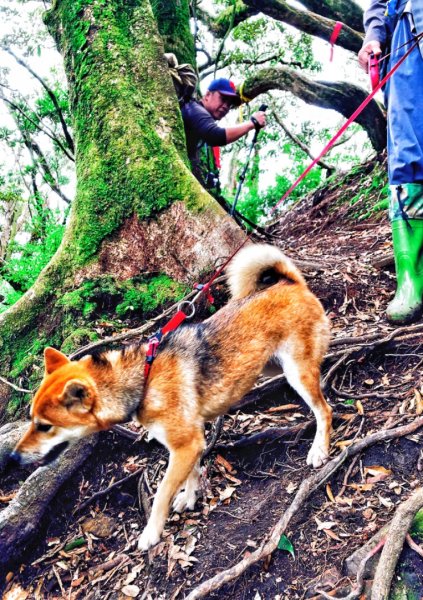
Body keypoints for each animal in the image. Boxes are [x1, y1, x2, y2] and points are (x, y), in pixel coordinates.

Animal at [11, 243, 332, 548]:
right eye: (31, 420)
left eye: (44, 426)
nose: (13, 457)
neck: (144, 379)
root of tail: (291, 283)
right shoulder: (187, 443)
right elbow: (192, 474)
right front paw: (189, 497)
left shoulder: (185, 444)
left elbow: (162, 492)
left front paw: (151, 532)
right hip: (271, 367)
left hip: (296, 372)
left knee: (324, 410)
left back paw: (319, 449)